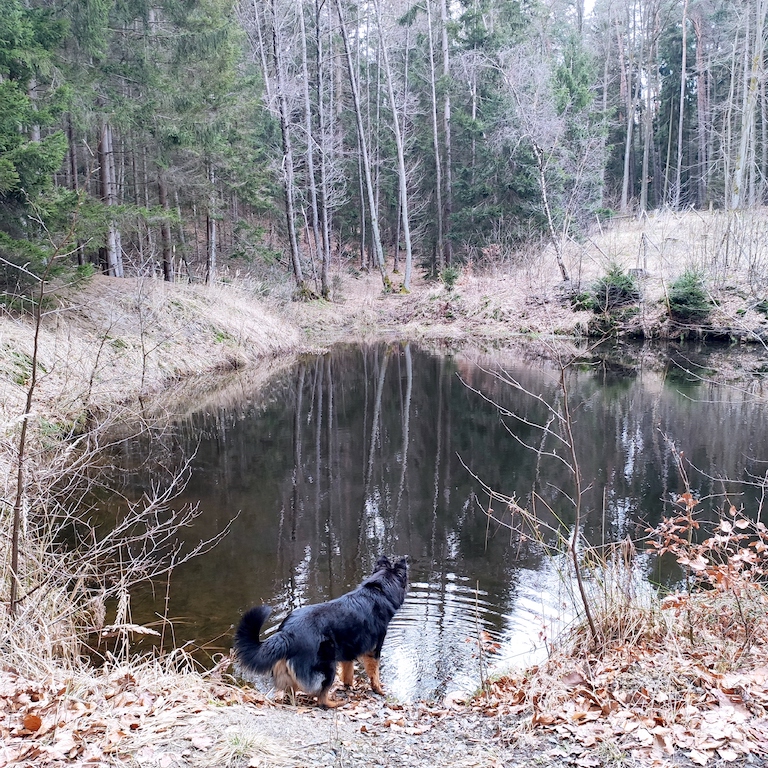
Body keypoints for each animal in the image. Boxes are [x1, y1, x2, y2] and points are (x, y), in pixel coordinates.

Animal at [234, 552, 408, 708]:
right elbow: (375, 673)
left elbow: (348, 673)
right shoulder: (373, 651)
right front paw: (379, 690)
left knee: (291, 693)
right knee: (321, 699)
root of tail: (287, 634)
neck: (378, 591)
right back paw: (335, 703)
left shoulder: (347, 651)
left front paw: (349, 686)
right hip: (328, 665)